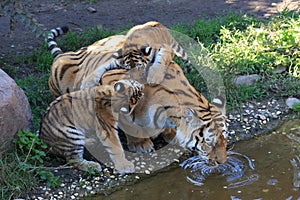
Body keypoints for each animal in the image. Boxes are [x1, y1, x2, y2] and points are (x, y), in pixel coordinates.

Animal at [47, 21, 191, 97]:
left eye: (140, 67)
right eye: (128, 69)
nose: (137, 81)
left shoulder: (165, 49)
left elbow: (161, 60)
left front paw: (153, 78)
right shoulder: (116, 60)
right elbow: (99, 69)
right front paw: (86, 84)